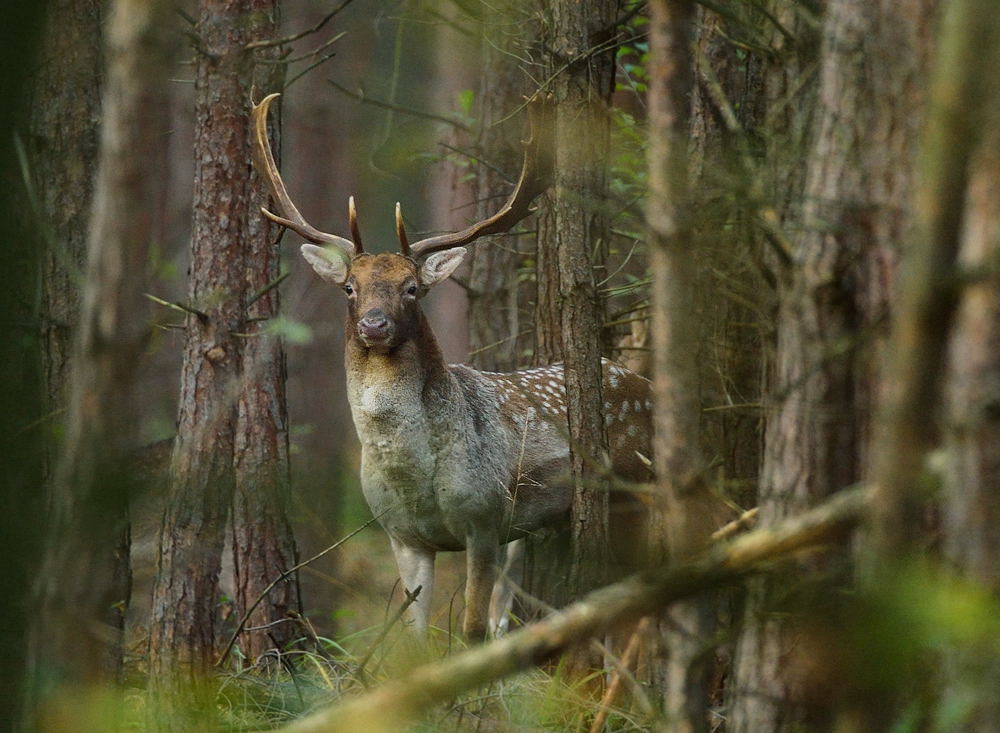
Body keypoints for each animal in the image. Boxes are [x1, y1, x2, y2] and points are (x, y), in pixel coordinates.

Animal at [254, 93, 652, 640]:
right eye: (350, 287)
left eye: (412, 288)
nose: (374, 325)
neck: (413, 479)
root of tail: (646, 383)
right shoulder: (403, 538)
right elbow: (417, 637)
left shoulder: (484, 520)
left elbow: (472, 630)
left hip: (632, 491)